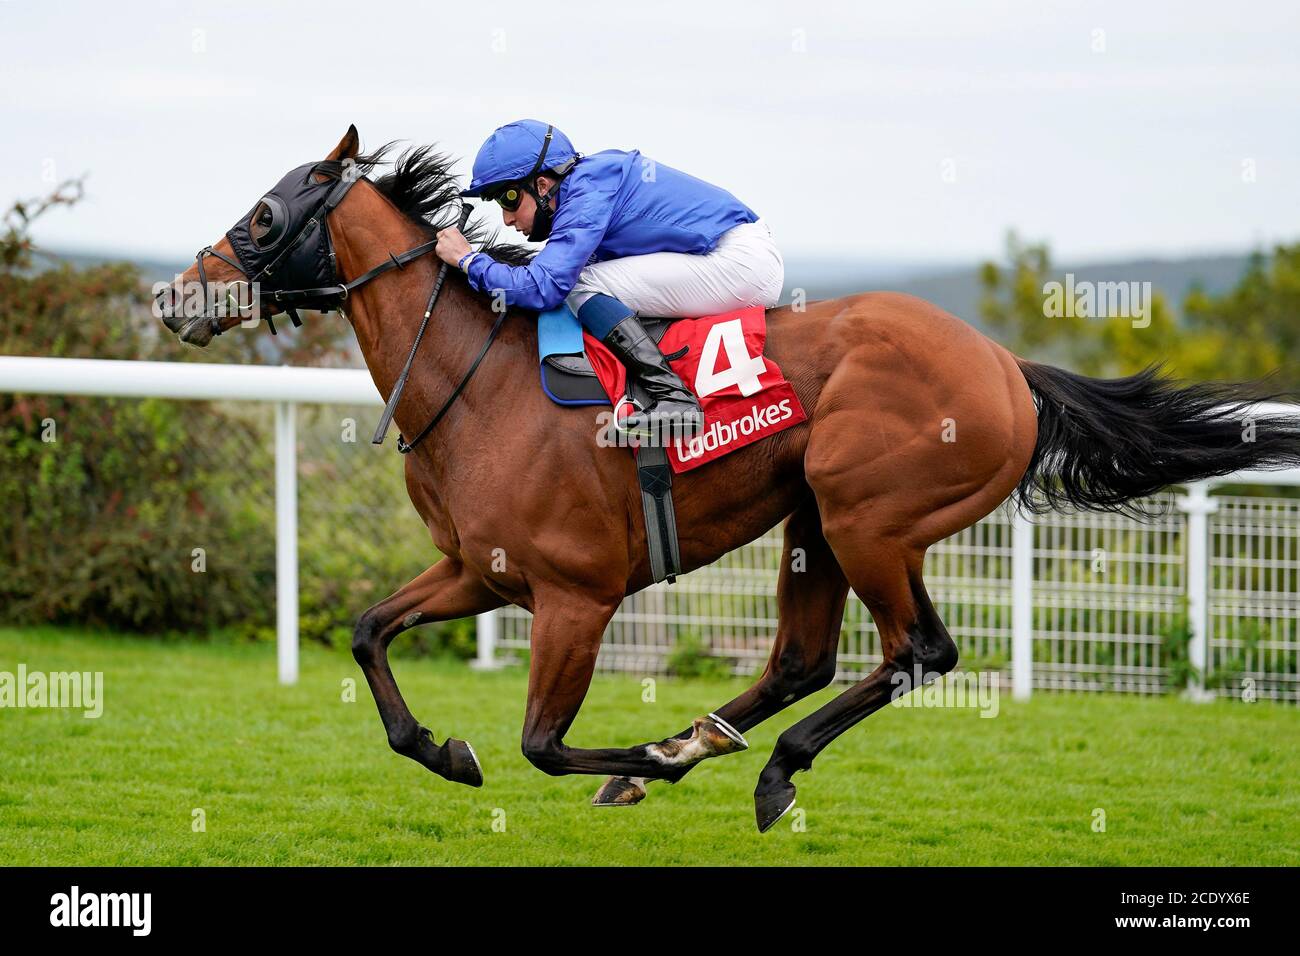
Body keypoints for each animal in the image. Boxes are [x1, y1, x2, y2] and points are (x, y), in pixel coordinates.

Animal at [159, 125, 1300, 832]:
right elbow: (367, 632)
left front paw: (636, 766)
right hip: (814, 521)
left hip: (867, 513)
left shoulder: (575, 594)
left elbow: (542, 743)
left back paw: (757, 761)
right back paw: (706, 736)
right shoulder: (481, 570)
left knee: (918, 650)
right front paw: (445, 749)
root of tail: (1005, 367)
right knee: (801, 658)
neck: (478, 380)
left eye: (263, 216)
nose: (174, 298)